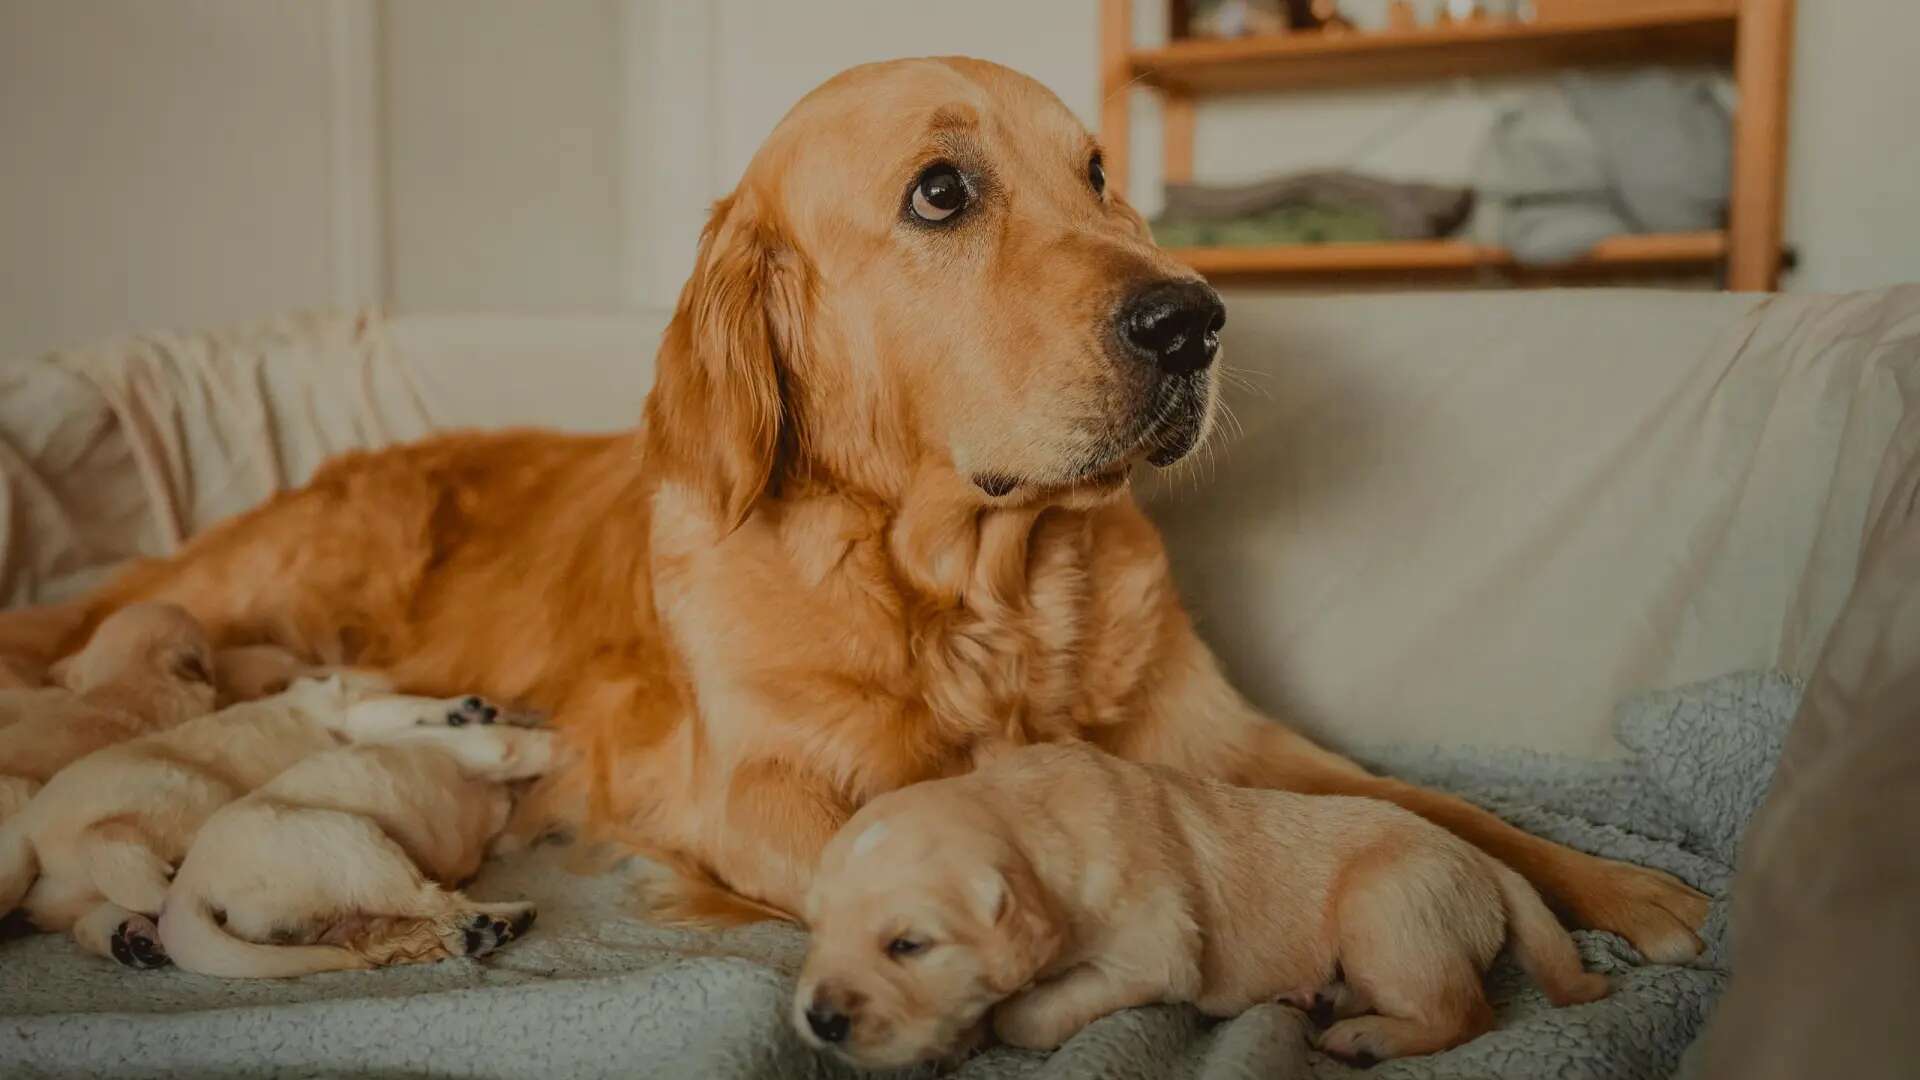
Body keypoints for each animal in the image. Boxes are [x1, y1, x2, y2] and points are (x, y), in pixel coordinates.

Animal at [0, 668, 503, 960]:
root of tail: (27, 831)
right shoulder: (353, 710)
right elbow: (400, 709)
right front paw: (458, 711)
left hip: (69, 895)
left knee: (94, 916)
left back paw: (134, 939)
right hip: (190, 791)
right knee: (112, 842)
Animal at [158, 707, 556, 976]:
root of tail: (188, 885)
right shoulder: (496, 748)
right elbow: (538, 748)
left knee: (371, 931)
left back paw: (477, 933)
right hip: (355, 841)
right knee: (432, 901)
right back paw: (507, 918)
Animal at [794, 734, 1605, 1060]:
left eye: (908, 946)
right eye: (816, 934)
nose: (819, 1021)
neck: (1023, 816)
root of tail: (1488, 865)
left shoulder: (1156, 951)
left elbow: (1033, 1013)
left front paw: (994, 1023)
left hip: (1385, 910)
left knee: (1466, 1012)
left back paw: (1365, 1036)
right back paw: (1321, 998)